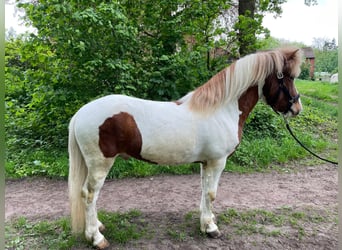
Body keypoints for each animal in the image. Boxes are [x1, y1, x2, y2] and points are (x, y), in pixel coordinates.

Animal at [69, 47, 302, 248]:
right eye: (288, 77)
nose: (297, 108)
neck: (221, 110)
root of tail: (81, 113)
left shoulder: (206, 163)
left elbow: (204, 191)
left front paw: (206, 220)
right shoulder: (218, 162)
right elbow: (211, 193)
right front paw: (211, 228)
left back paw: (97, 226)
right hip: (100, 164)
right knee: (89, 195)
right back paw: (96, 237)